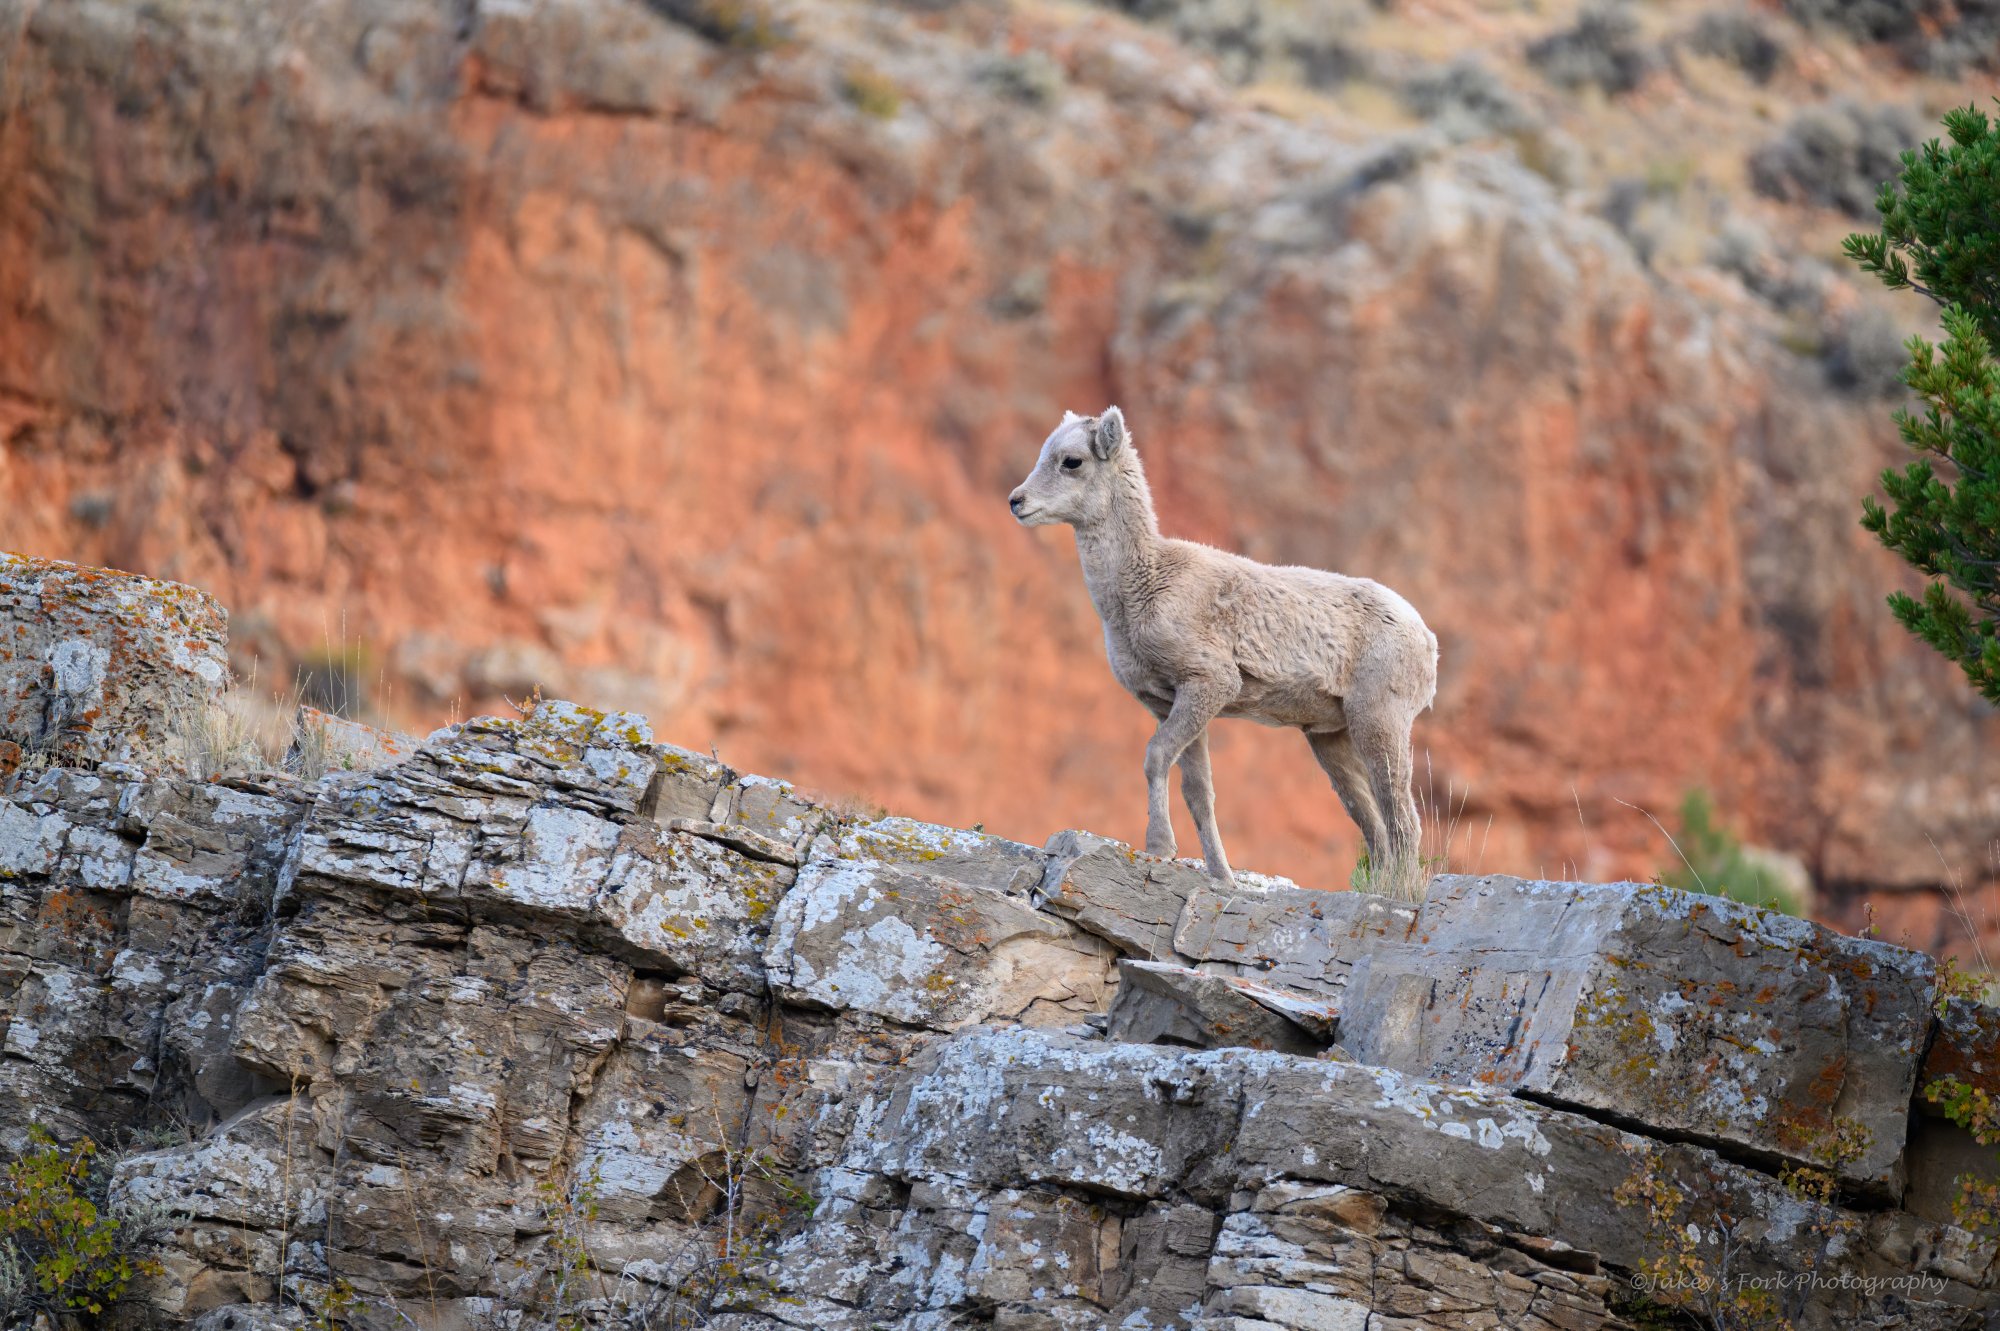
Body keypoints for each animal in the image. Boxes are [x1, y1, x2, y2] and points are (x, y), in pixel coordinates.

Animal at [1016, 407, 1440, 903]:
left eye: (1072, 461)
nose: (1016, 501)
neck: (1140, 586)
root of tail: (1425, 636)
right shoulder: (1171, 703)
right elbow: (1198, 791)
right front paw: (1222, 877)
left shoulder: (1209, 684)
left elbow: (1156, 757)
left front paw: (1159, 847)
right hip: (1329, 739)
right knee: (1373, 824)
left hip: (1380, 723)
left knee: (1403, 821)